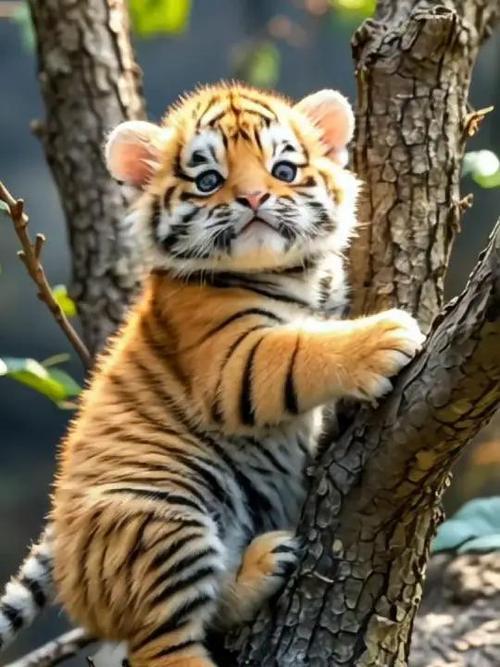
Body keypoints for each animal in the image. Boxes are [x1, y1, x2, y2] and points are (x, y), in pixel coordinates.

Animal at [0, 82, 424, 667]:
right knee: (163, 643)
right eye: (208, 181)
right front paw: (385, 335)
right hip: (159, 519)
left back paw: (268, 562)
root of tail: (60, 547)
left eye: (283, 170)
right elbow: (300, 347)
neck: (294, 275)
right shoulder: (229, 361)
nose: (255, 199)